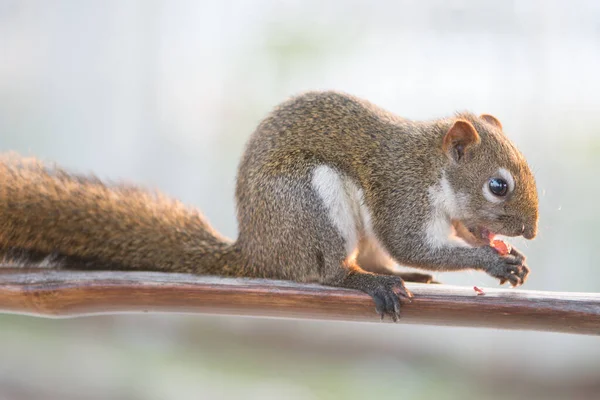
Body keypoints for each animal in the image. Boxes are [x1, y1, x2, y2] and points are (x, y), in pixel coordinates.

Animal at [0, 91, 540, 322]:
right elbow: (412, 243)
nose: (532, 232)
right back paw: (368, 282)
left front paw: (508, 256)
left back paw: (397, 277)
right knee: (327, 271)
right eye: (498, 185)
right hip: (310, 203)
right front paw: (493, 260)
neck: (433, 168)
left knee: (372, 257)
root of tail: (257, 251)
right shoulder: (400, 191)